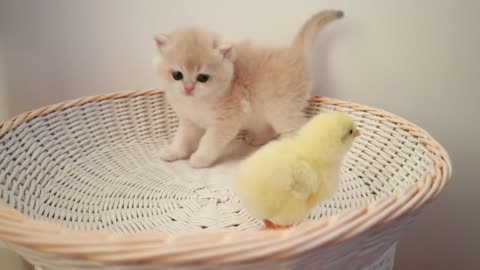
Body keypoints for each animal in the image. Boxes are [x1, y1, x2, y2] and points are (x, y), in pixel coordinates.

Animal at [153, 10, 342, 168]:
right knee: (270, 128)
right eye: (177, 75)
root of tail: (294, 51)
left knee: (295, 128)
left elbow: (209, 141)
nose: (188, 89)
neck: (197, 103)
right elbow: (181, 139)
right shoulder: (189, 122)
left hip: (282, 109)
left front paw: (200, 158)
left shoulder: (225, 122)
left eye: (202, 78)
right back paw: (256, 139)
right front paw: (173, 152)